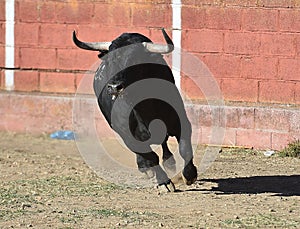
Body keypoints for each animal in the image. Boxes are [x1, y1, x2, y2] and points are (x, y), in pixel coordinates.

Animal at [73, 29, 197, 191]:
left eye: (134, 60)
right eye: (109, 61)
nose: (114, 87)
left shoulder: (181, 122)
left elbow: (184, 148)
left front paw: (190, 175)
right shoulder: (128, 136)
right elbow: (151, 157)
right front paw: (164, 182)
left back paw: (170, 163)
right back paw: (146, 167)